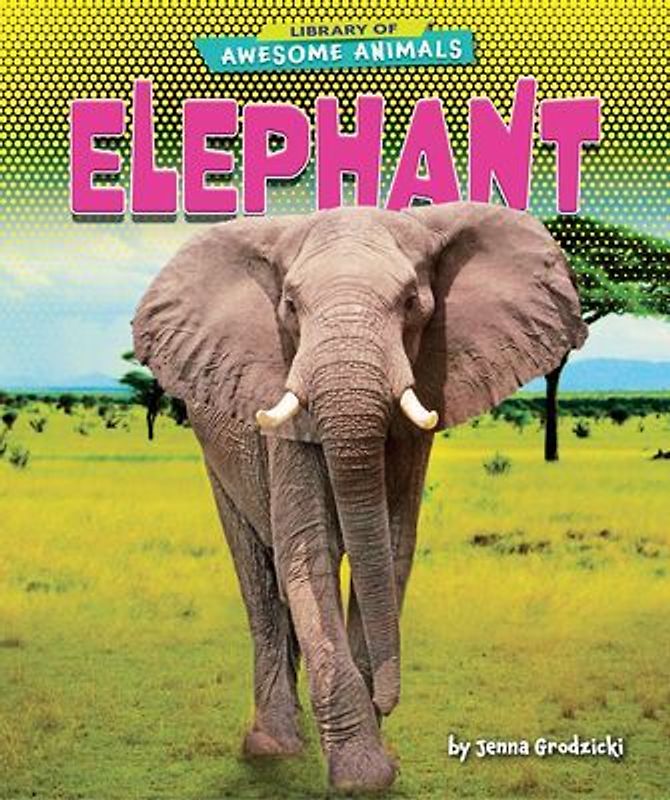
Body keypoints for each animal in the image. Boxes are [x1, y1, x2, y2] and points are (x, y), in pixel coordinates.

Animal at [132, 201, 587, 792]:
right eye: (290, 307)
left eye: (413, 304)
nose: (388, 702)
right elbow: (310, 557)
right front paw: (362, 775)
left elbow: (390, 550)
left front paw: (372, 757)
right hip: (215, 452)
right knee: (260, 577)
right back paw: (273, 748)